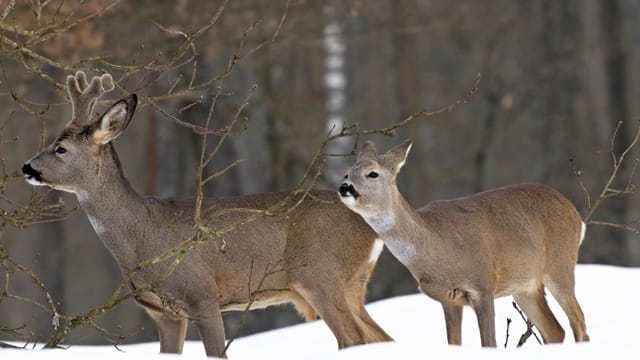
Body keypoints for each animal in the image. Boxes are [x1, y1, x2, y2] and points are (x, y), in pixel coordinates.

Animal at [21, 71, 390, 358]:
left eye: (60, 148)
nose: (27, 167)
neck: (141, 238)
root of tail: (372, 227)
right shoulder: (164, 313)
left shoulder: (202, 295)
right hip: (351, 284)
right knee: (379, 337)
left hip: (319, 275)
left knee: (354, 338)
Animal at [340, 139, 592, 348]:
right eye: (346, 174)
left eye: (372, 174)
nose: (345, 188)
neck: (436, 250)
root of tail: (576, 215)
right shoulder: (448, 299)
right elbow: (454, 343)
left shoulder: (482, 285)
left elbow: (489, 343)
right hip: (524, 286)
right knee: (555, 330)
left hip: (560, 264)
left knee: (578, 321)